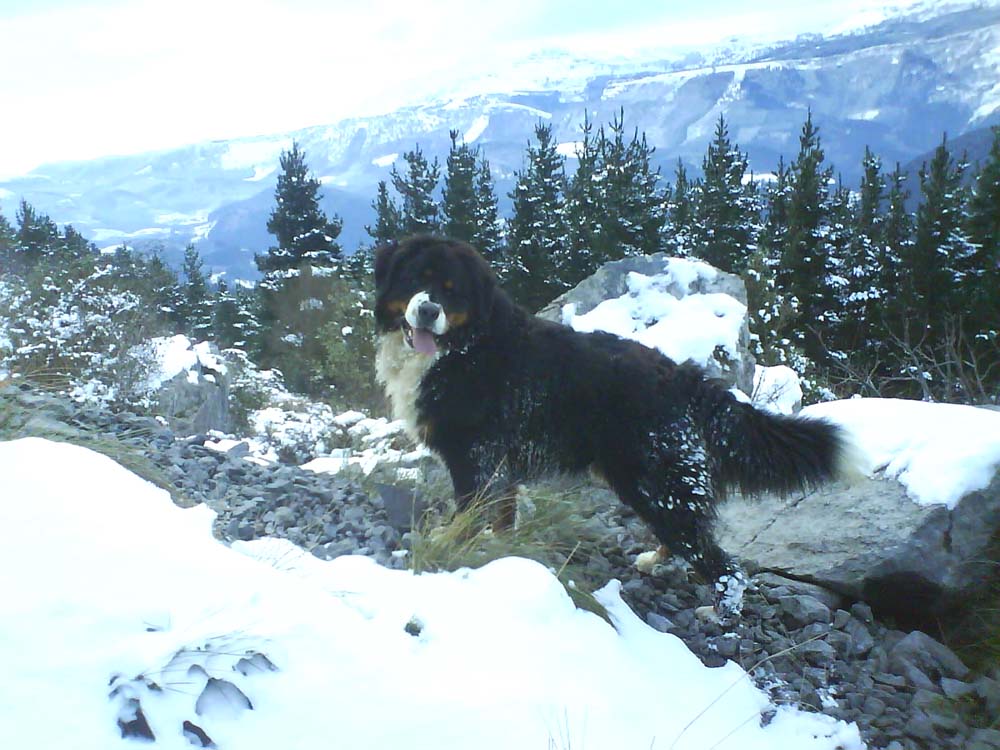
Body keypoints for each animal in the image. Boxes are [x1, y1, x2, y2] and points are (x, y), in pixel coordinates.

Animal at [376, 238, 852, 620]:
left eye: (452, 290)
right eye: (415, 280)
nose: (429, 309)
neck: (463, 348)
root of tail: (682, 376)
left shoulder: (474, 456)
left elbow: (469, 514)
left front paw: (453, 547)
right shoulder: (500, 462)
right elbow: (502, 517)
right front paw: (502, 556)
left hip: (658, 483)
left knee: (723, 564)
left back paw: (718, 613)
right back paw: (655, 560)